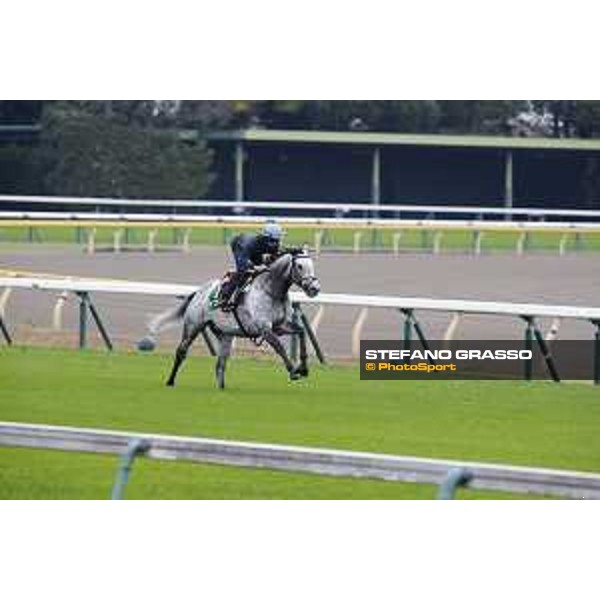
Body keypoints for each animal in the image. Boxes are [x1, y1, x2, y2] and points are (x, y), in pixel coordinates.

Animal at [142, 250, 318, 386]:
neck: (270, 290)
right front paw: (293, 370)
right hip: (193, 326)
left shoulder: (280, 326)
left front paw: (304, 368)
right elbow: (279, 347)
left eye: (312, 265)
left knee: (221, 362)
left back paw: (222, 389)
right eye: (300, 266)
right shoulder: (264, 328)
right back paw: (170, 381)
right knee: (181, 351)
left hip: (225, 334)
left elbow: (301, 332)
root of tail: (198, 292)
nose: (314, 288)